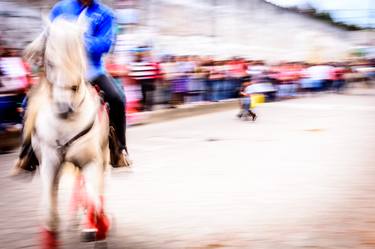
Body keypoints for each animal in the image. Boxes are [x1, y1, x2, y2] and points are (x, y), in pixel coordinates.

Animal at [24, 16, 110, 248]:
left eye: (79, 61)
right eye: (50, 62)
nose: (65, 107)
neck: (66, 122)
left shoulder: (91, 160)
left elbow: (94, 202)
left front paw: (99, 227)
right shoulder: (50, 163)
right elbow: (49, 214)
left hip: (103, 155)